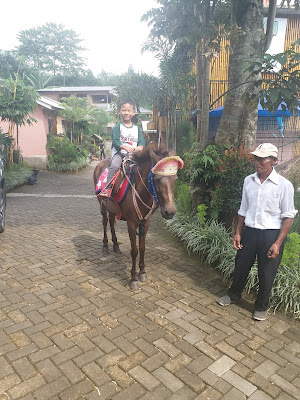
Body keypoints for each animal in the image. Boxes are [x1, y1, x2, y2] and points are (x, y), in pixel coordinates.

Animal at [94, 148, 183, 290]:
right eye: (157, 179)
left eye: (175, 178)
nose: (170, 212)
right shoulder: (131, 224)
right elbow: (134, 251)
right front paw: (133, 278)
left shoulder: (145, 222)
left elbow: (142, 248)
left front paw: (142, 272)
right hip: (102, 204)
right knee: (105, 222)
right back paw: (105, 245)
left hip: (112, 208)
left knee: (112, 222)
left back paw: (115, 245)